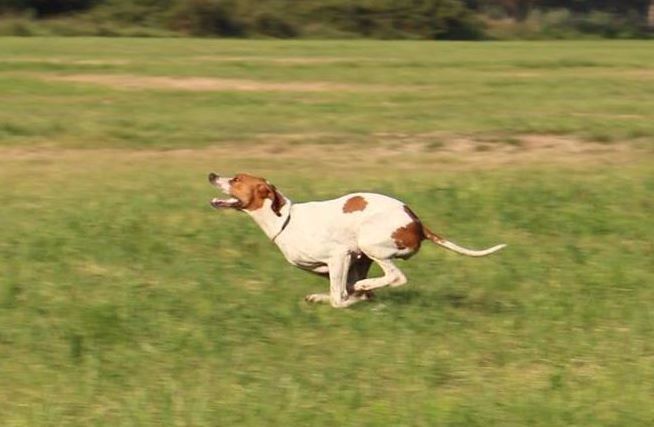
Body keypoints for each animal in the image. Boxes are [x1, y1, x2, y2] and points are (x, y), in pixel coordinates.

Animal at [210, 172, 508, 310]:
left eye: (236, 179)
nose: (212, 175)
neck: (284, 219)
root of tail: (417, 222)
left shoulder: (340, 256)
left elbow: (340, 297)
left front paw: (356, 300)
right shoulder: (347, 262)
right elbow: (341, 290)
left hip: (370, 245)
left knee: (396, 277)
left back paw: (365, 289)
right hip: (365, 255)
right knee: (369, 284)